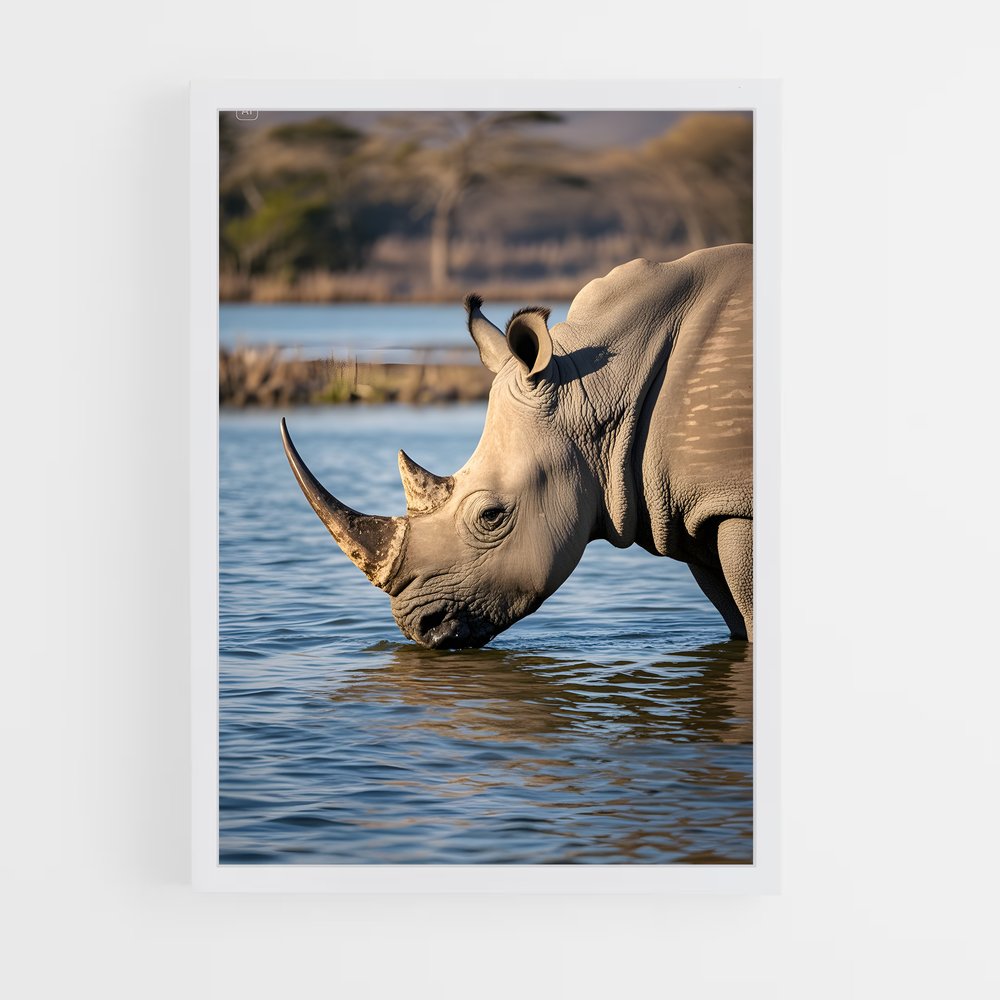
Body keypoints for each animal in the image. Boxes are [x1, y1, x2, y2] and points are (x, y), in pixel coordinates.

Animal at [281, 243, 753, 648]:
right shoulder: (699, 509)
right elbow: (738, 617)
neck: (598, 384)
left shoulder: (733, 503)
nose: (419, 628)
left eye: (491, 516)